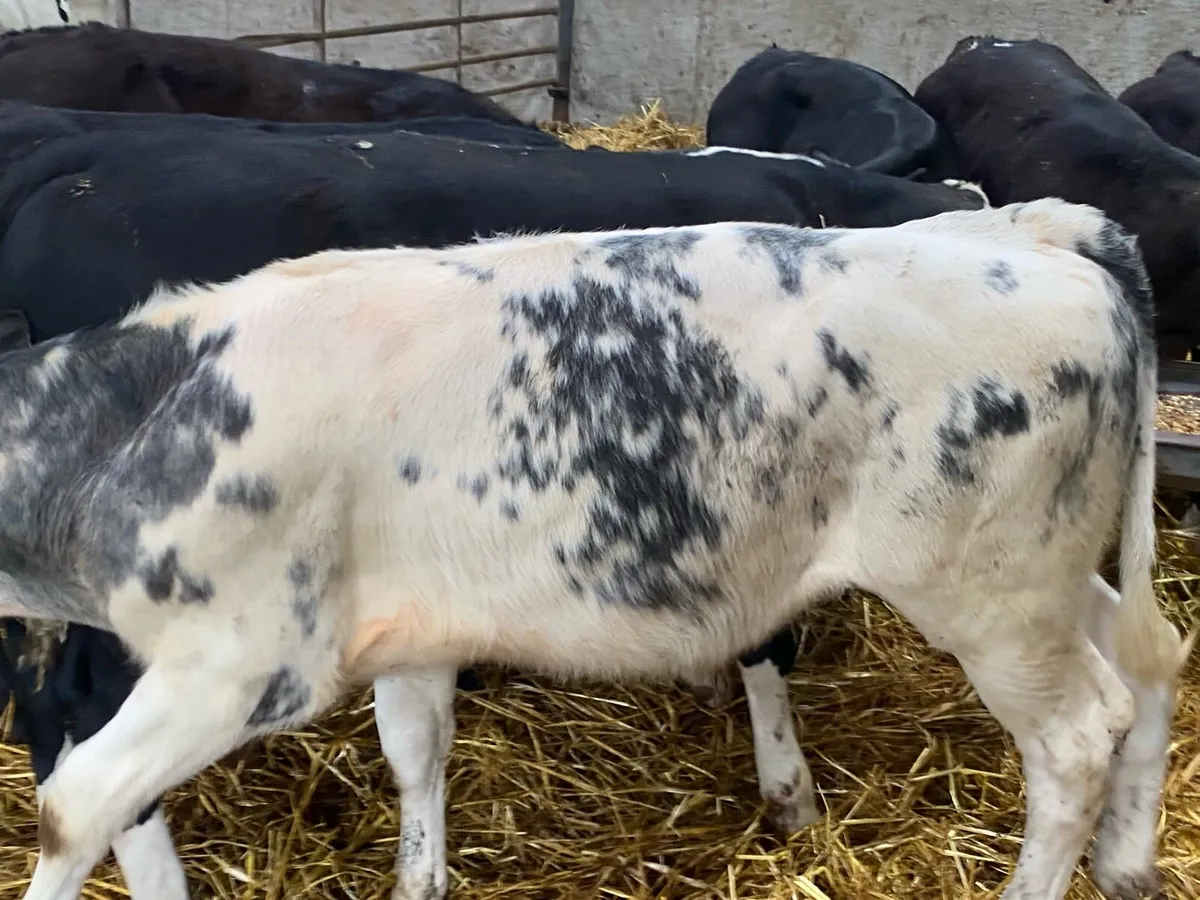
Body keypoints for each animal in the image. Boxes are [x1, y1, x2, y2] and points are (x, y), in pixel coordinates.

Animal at [0, 198, 1186, 900]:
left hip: (987, 587)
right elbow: (414, 752)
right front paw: (419, 880)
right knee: (1153, 657)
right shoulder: (409, 623)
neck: (133, 419)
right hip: (1051, 564)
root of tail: (1045, 238)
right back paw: (1129, 860)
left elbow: (74, 806)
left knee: (1076, 735)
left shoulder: (243, 661)